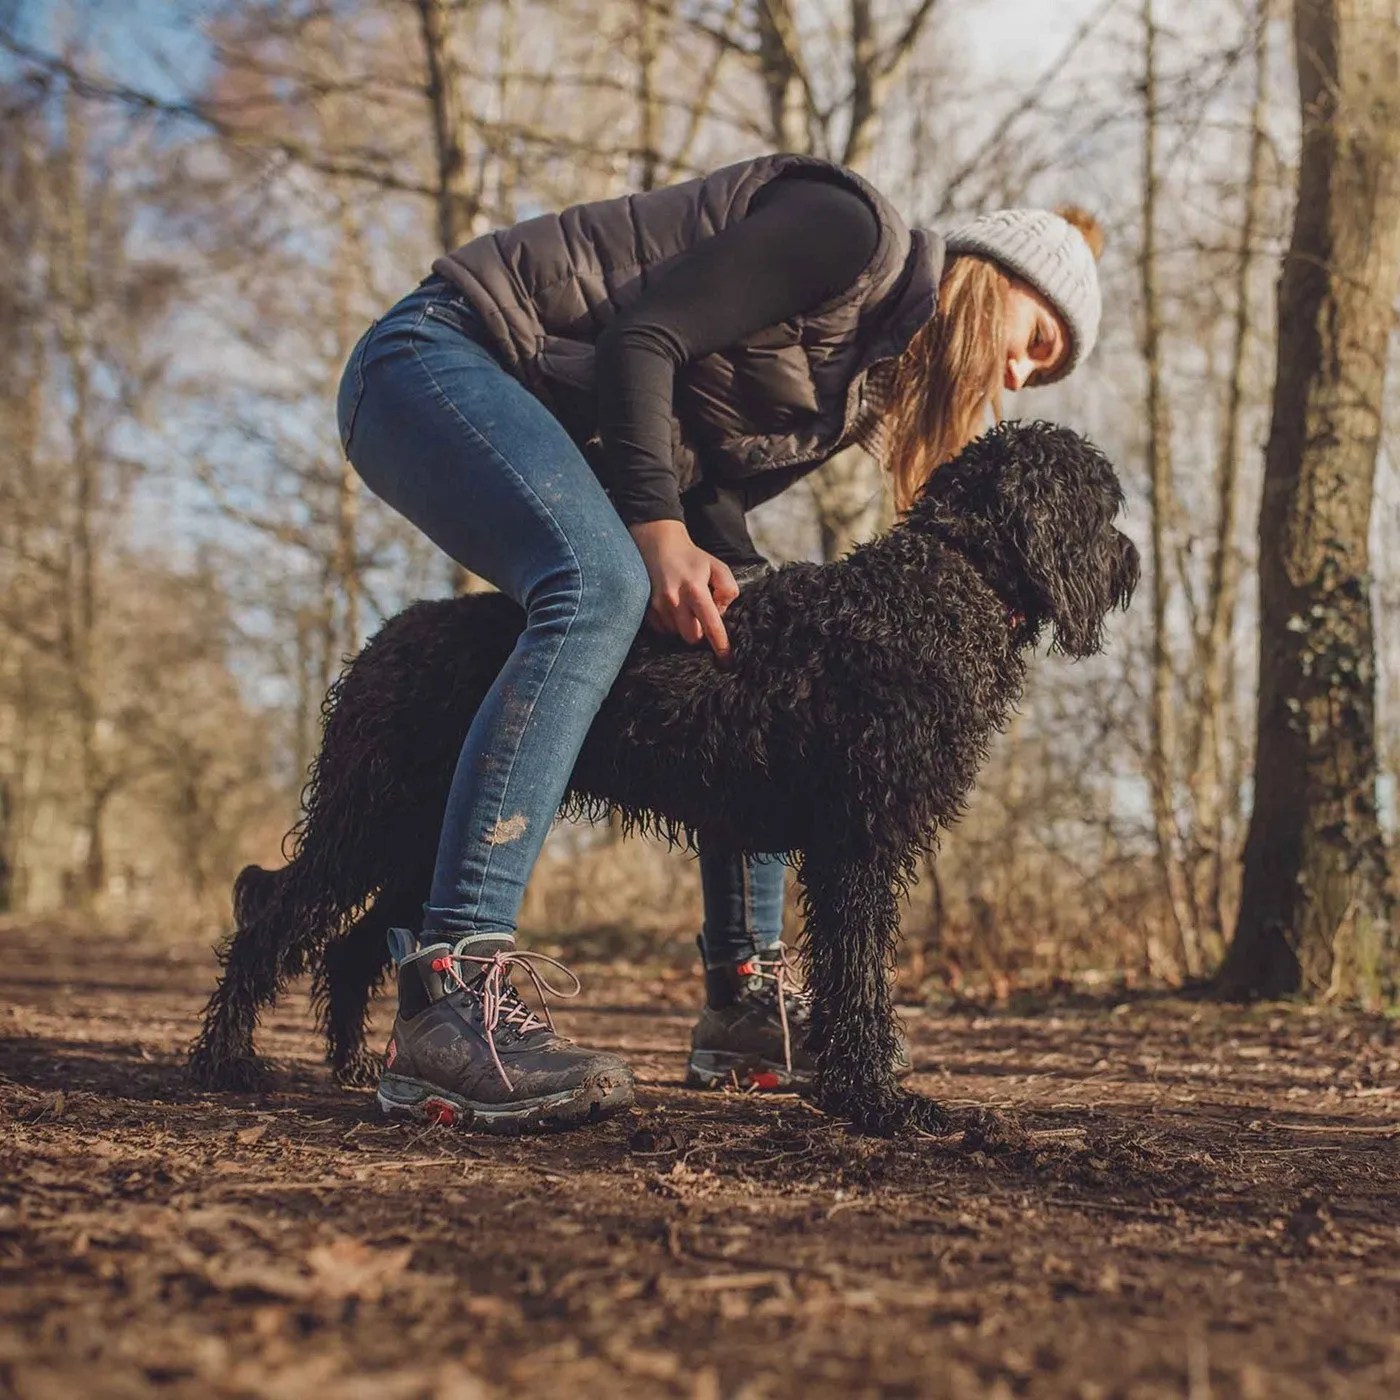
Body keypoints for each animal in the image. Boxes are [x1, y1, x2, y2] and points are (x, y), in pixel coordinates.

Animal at [189, 420, 1136, 1131]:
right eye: (1103, 502)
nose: (1131, 561)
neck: (945, 581)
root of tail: (385, 637)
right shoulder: (859, 845)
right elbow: (863, 979)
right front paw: (876, 1100)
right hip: (370, 820)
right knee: (272, 916)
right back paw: (226, 1060)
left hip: (417, 836)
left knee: (355, 944)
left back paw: (355, 1064)